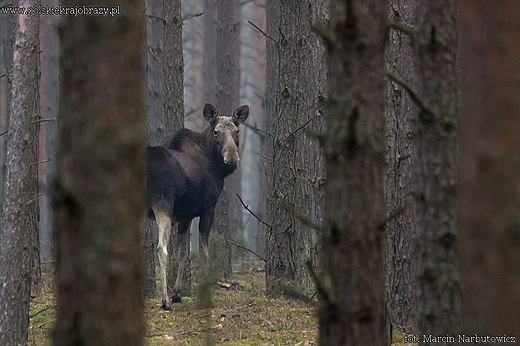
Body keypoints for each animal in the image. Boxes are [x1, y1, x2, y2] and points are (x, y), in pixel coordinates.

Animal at [146, 102, 250, 310]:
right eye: (216, 132)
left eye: (237, 131)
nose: (231, 157)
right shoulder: (208, 209)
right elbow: (203, 251)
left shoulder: (185, 215)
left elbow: (183, 252)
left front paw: (178, 293)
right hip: (162, 205)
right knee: (161, 249)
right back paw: (164, 301)